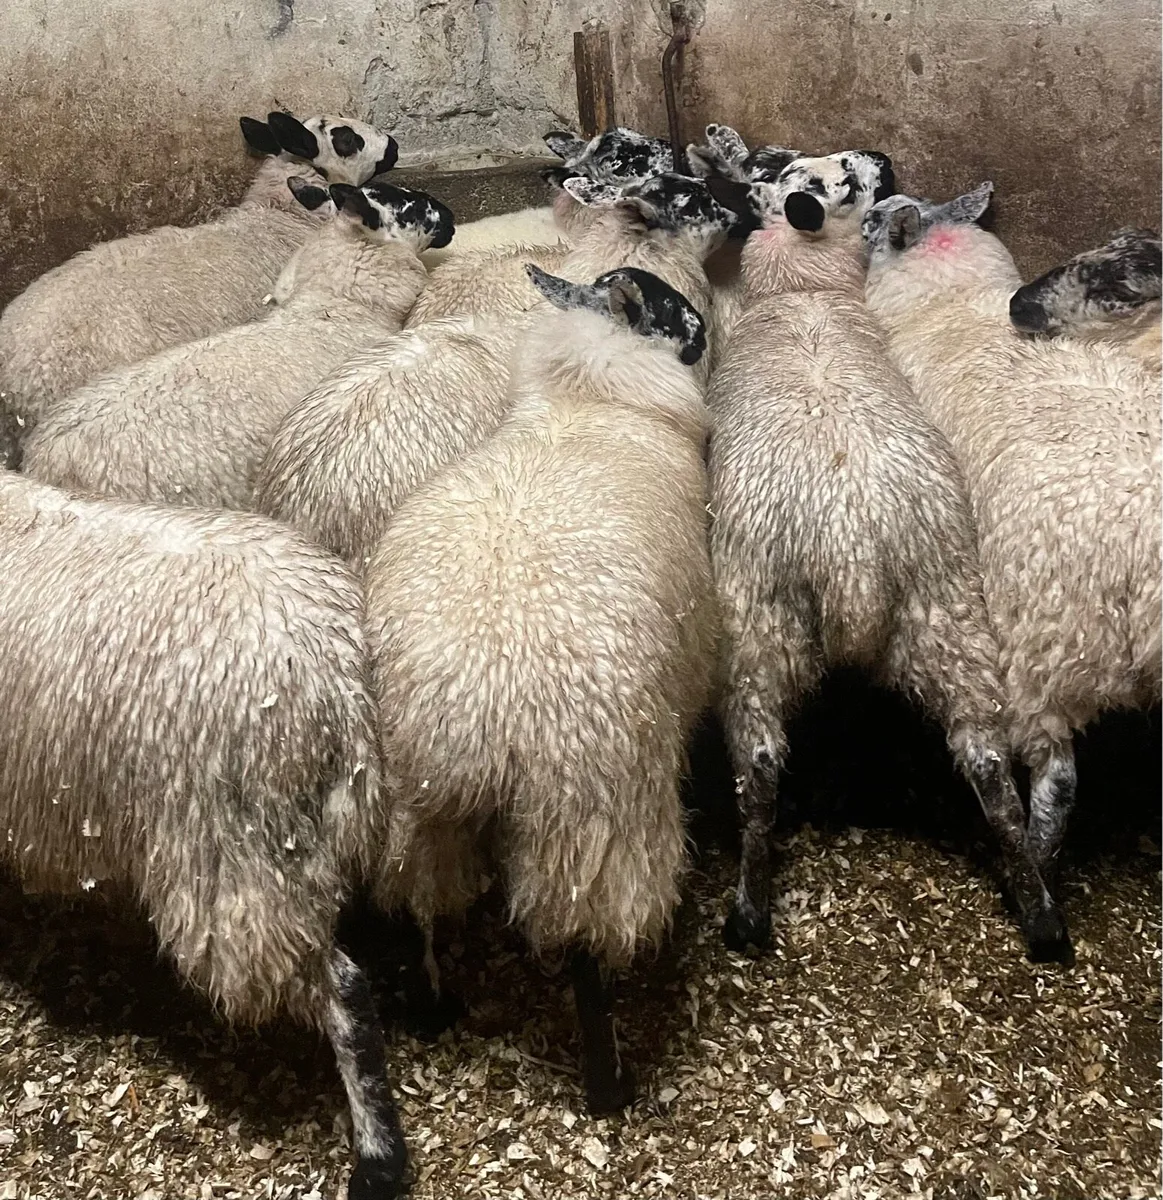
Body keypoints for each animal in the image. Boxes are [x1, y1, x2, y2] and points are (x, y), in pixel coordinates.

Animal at [364, 264, 716, 1113]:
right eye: (673, 311)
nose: (707, 329)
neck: (586, 401)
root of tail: (469, 718)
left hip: (412, 814)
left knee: (415, 908)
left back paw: (433, 1010)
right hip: (591, 816)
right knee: (587, 953)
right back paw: (608, 1085)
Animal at [708, 152, 1071, 963]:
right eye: (846, 182)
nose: (882, 159)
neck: (804, 295)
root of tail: (853, 557)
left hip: (757, 627)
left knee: (758, 771)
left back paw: (747, 915)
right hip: (949, 619)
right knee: (991, 772)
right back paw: (1040, 916)